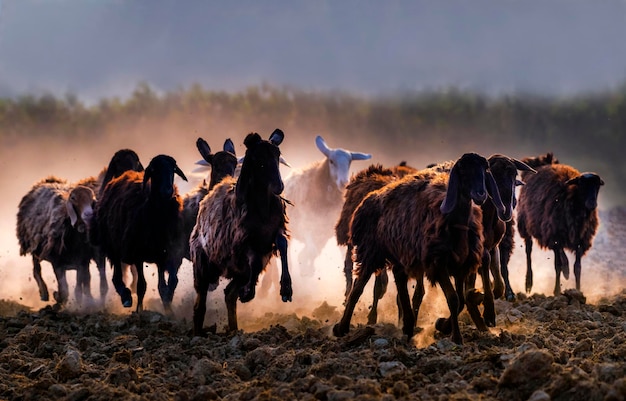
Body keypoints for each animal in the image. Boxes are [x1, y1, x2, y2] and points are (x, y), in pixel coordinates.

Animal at [95, 153, 186, 312]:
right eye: (154, 170)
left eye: (173, 169)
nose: (168, 191)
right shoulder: (138, 254)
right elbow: (141, 286)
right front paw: (139, 311)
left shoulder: (163, 254)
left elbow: (163, 287)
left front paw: (169, 310)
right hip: (113, 246)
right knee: (116, 276)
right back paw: (126, 297)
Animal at [189, 129, 292, 334]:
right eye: (258, 158)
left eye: (277, 154)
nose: (279, 187)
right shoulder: (242, 241)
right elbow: (253, 257)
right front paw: (248, 292)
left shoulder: (275, 231)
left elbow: (283, 244)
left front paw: (286, 289)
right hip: (203, 267)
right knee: (200, 304)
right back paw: (198, 332)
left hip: (237, 272)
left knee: (229, 294)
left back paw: (234, 327)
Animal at [280, 134, 370, 276]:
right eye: (331, 161)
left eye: (349, 163)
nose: (344, 182)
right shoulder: (306, 226)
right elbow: (311, 251)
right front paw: (306, 269)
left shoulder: (325, 233)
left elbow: (313, 252)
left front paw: (307, 268)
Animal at [332, 153, 502, 344]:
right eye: (463, 171)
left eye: (484, 170)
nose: (481, 195)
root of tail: (368, 198)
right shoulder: (438, 265)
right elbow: (453, 299)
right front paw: (456, 337)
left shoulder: (460, 267)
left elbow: (461, 300)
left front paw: (444, 325)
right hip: (371, 251)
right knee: (358, 288)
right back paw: (342, 327)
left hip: (400, 253)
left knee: (398, 279)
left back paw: (407, 325)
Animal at [516, 153, 604, 296]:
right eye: (581, 184)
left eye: (597, 186)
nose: (592, 204)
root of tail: (542, 163)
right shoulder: (555, 236)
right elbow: (558, 265)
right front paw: (557, 289)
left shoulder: (580, 240)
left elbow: (577, 268)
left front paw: (578, 290)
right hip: (525, 224)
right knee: (528, 250)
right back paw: (529, 283)